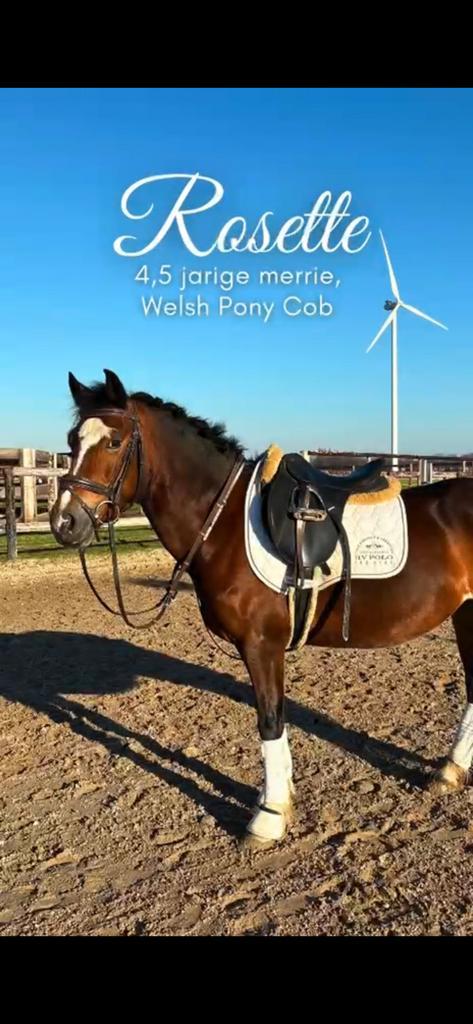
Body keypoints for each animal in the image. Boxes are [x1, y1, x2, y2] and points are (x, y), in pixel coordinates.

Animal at [50, 368, 473, 845]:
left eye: (114, 441)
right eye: (72, 440)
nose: (64, 522)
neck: (224, 522)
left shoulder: (261, 644)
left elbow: (270, 720)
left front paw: (268, 816)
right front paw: (281, 798)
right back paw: (450, 771)